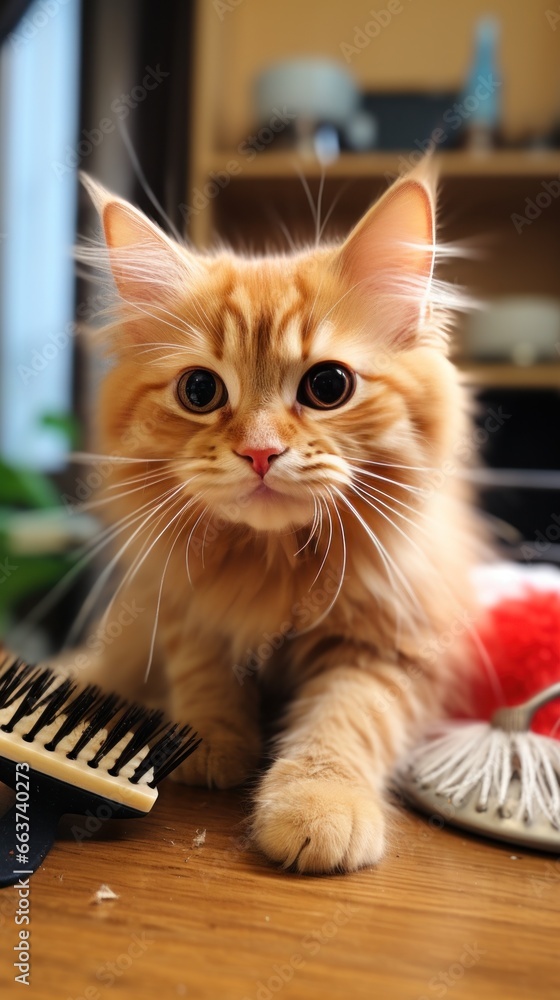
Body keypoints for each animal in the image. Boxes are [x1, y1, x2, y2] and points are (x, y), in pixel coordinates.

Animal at [69, 172, 482, 876]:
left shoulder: (390, 646)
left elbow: (345, 720)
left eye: (328, 385)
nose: (259, 452)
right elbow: (203, 671)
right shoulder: (181, 601)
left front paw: (318, 803)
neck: (272, 564)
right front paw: (208, 742)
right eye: (200, 392)